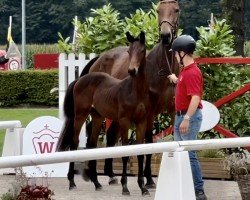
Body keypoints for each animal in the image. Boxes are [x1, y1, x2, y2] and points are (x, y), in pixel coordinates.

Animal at [56, 32, 150, 195]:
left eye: (142, 51)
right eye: (129, 51)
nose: (132, 70)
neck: (135, 91)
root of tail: (79, 80)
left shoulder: (141, 122)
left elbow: (140, 153)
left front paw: (143, 187)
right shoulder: (124, 122)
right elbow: (125, 153)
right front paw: (125, 187)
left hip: (98, 116)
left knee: (92, 144)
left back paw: (96, 182)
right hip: (80, 115)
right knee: (74, 143)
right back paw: (72, 182)